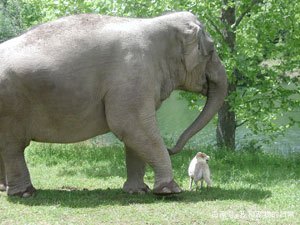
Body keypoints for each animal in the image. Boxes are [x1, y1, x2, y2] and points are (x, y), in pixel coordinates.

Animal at [0, 11, 226, 197]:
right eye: (212, 49)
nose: (171, 148)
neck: (156, 23)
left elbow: (135, 134)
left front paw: (138, 191)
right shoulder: (133, 77)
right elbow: (131, 126)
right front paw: (170, 191)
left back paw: (4, 189)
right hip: (10, 105)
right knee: (13, 146)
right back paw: (25, 193)